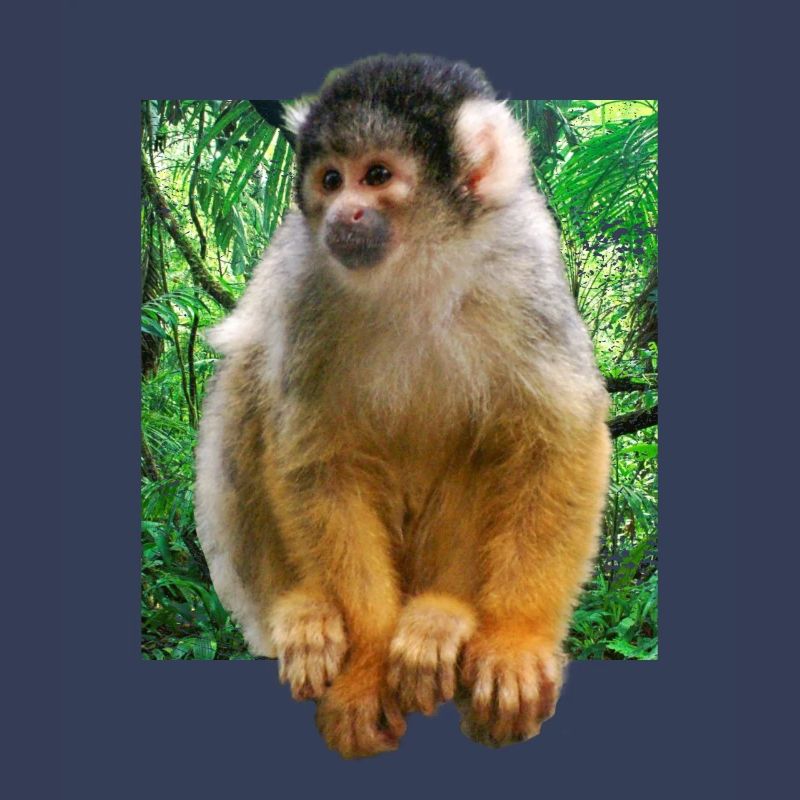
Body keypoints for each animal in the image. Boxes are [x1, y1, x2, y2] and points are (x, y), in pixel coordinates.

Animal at [195, 54, 611, 758]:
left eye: (378, 176)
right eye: (330, 180)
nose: (343, 214)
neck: (418, 266)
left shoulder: (522, 265)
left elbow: (557, 438)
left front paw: (515, 640)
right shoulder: (307, 282)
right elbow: (318, 460)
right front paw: (365, 669)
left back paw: (444, 617)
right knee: (251, 372)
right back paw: (300, 611)